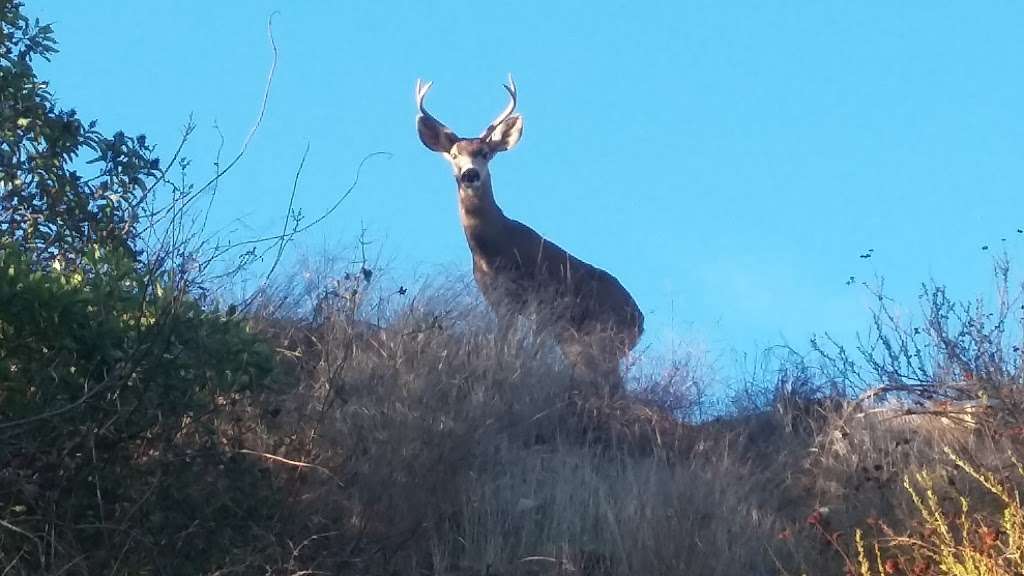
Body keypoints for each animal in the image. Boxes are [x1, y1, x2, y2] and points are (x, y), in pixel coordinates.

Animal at [413, 73, 638, 391]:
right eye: (454, 154)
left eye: (485, 153)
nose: (470, 174)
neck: (493, 248)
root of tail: (640, 321)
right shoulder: (497, 297)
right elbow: (501, 339)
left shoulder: (535, 297)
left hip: (602, 336)